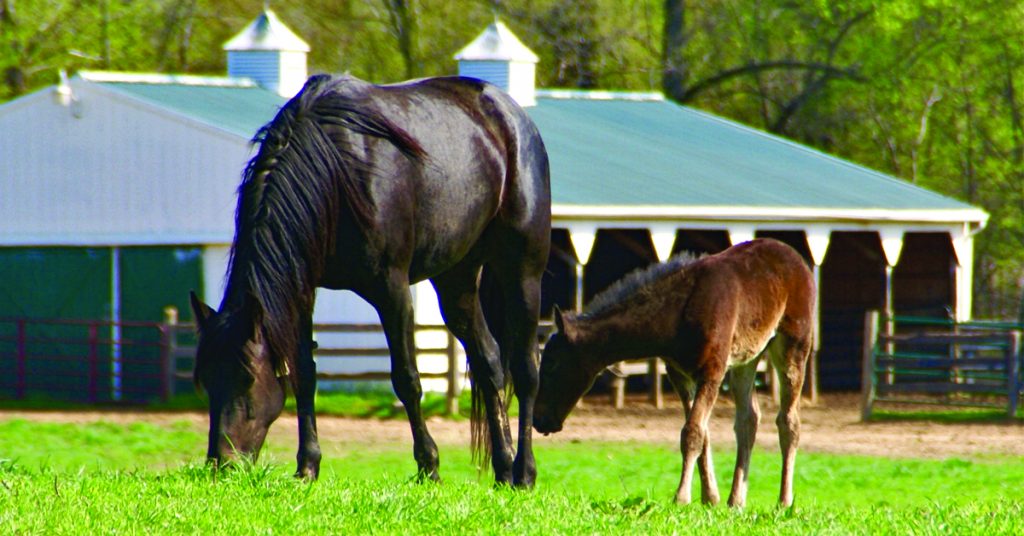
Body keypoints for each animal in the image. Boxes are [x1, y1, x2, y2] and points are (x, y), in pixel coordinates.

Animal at [187, 73, 548, 487]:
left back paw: (524, 472)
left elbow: (407, 379)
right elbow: (305, 374)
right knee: (489, 362)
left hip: (523, 269)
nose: (222, 463)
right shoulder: (303, 289)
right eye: (206, 379)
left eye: (246, 377)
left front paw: (429, 466)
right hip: (456, 278)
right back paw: (503, 469)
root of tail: (510, 113)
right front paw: (307, 466)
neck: (335, 174)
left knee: (526, 369)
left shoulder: (392, 290)